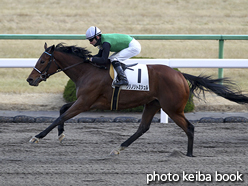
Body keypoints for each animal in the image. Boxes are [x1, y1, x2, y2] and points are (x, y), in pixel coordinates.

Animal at [26, 42, 248, 157]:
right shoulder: (85, 101)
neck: (87, 71)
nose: (30, 79)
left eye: (43, 61)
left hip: (172, 108)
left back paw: (189, 154)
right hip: (153, 104)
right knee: (143, 128)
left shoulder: (86, 102)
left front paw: (37, 136)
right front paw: (60, 135)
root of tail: (180, 75)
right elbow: (62, 110)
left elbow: (60, 116)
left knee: (189, 127)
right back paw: (119, 147)